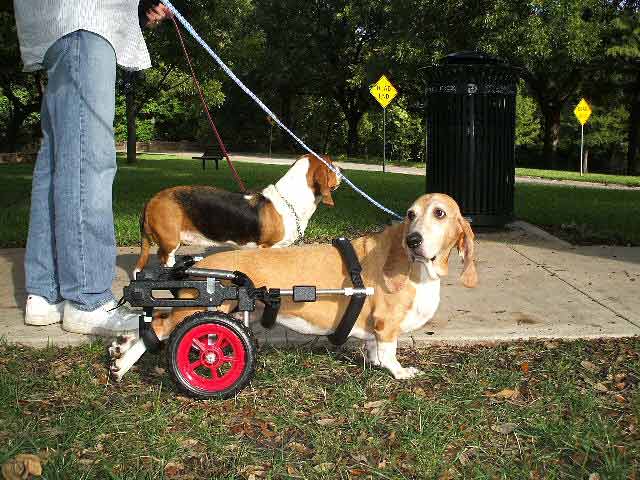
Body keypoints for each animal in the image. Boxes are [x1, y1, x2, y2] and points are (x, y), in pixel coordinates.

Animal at [112, 193, 478, 380]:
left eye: (440, 213)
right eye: (410, 214)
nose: (414, 240)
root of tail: (195, 267)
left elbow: (374, 350)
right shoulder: (386, 325)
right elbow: (389, 352)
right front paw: (400, 372)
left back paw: (120, 347)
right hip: (204, 308)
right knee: (158, 327)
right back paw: (123, 364)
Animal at [134, 154, 340, 274]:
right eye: (331, 165)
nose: (341, 170)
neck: (288, 199)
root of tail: (151, 199)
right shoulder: (269, 247)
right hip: (170, 242)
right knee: (165, 259)